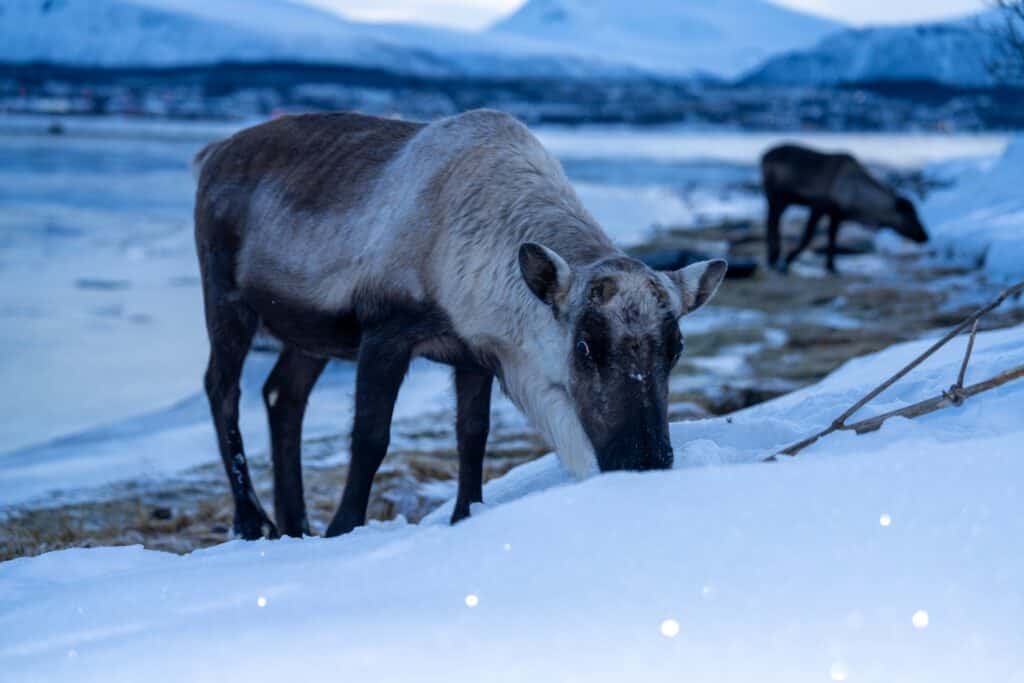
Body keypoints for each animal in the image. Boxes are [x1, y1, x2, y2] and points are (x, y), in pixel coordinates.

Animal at [193, 109, 726, 540]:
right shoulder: (386, 332)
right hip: (225, 296)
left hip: (311, 336)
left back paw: (295, 523)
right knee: (222, 387)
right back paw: (253, 520)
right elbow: (371, 437)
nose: (646, 461)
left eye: (676, 348)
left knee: (282, 393)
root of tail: (211, 153)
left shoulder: (474, 354)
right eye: (585, 346)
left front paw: (465, 514)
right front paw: (343, 528)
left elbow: (472, 437)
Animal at [761, 143, 928, 274]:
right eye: (911, 216)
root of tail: (763, 157)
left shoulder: (837, 214)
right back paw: (772, 258)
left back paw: (773, 256)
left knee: (773, 221)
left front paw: (831, 266)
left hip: (782, 199)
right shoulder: (819, 206)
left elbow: (832, 238)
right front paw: (787, 260)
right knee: (771, 221)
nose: (925, 235)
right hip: (775, 195)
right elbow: (807, 236)